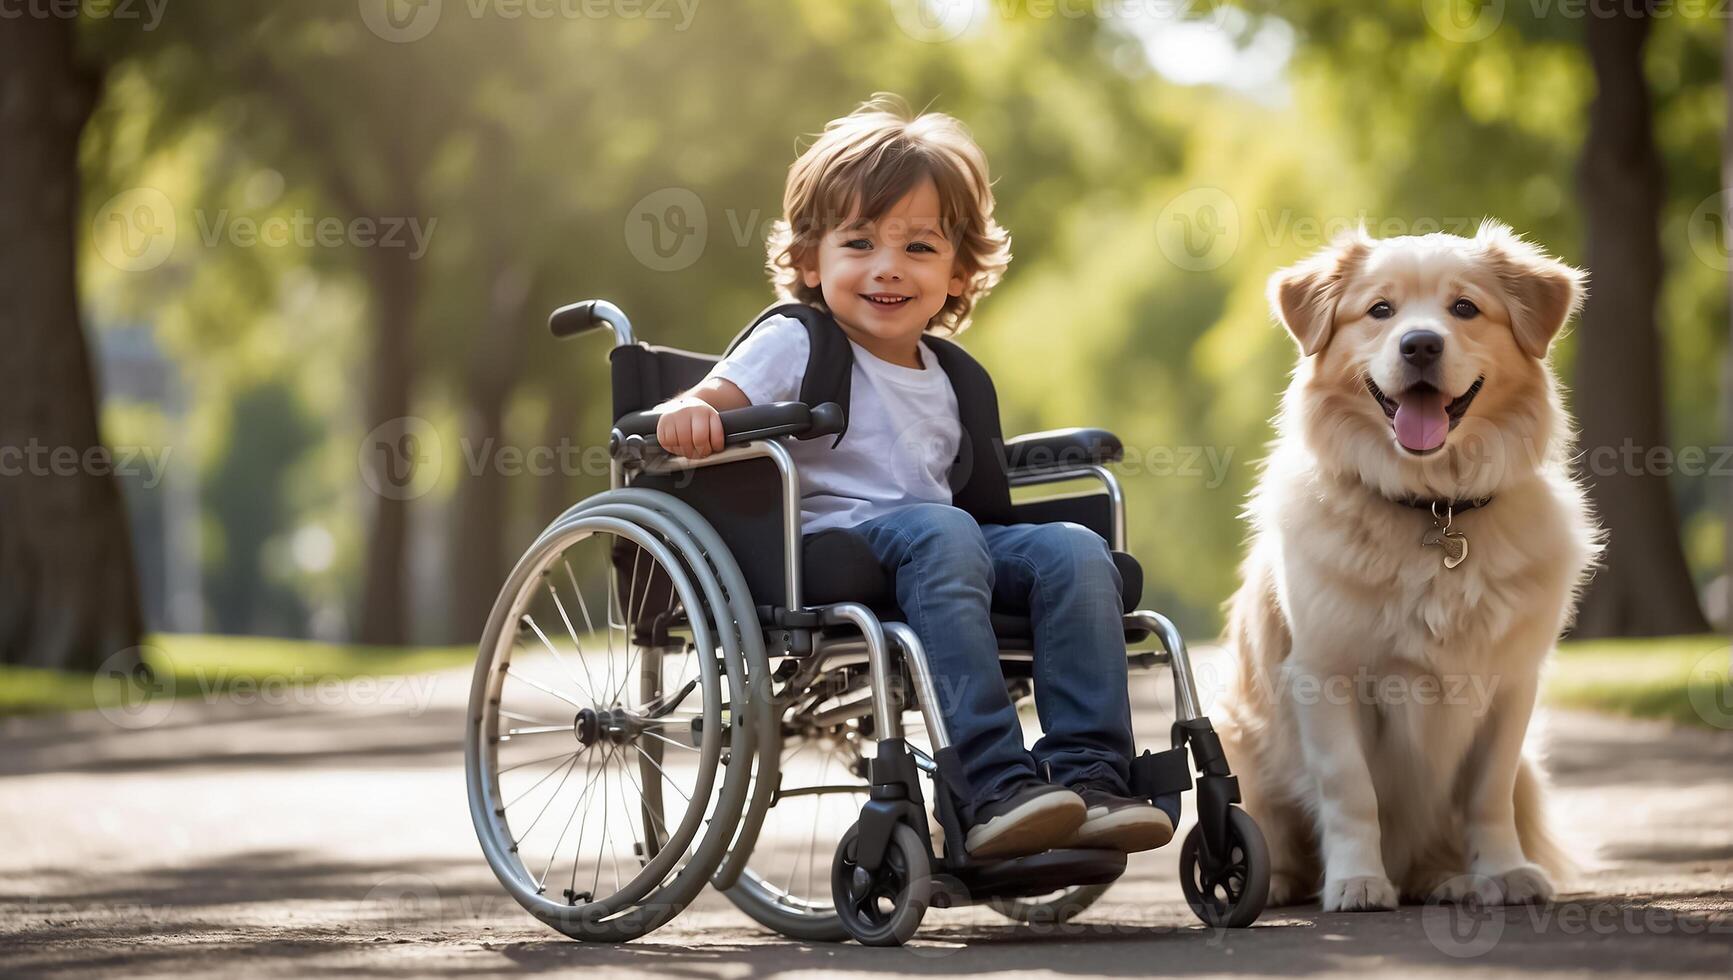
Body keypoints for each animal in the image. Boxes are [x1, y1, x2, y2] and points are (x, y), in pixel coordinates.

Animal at [1220, 222, 1594, 908]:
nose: (1421, 344)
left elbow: (1488, 792)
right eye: (1380, 310)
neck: (1433, 505)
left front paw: (1503, 871)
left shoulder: (1511, 685)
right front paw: (1358, 880)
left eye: (1465, 308)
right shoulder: (1325, 676)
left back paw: (1450, 879)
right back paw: (1275, 881)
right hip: (1237, 741)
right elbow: (1350, 792)